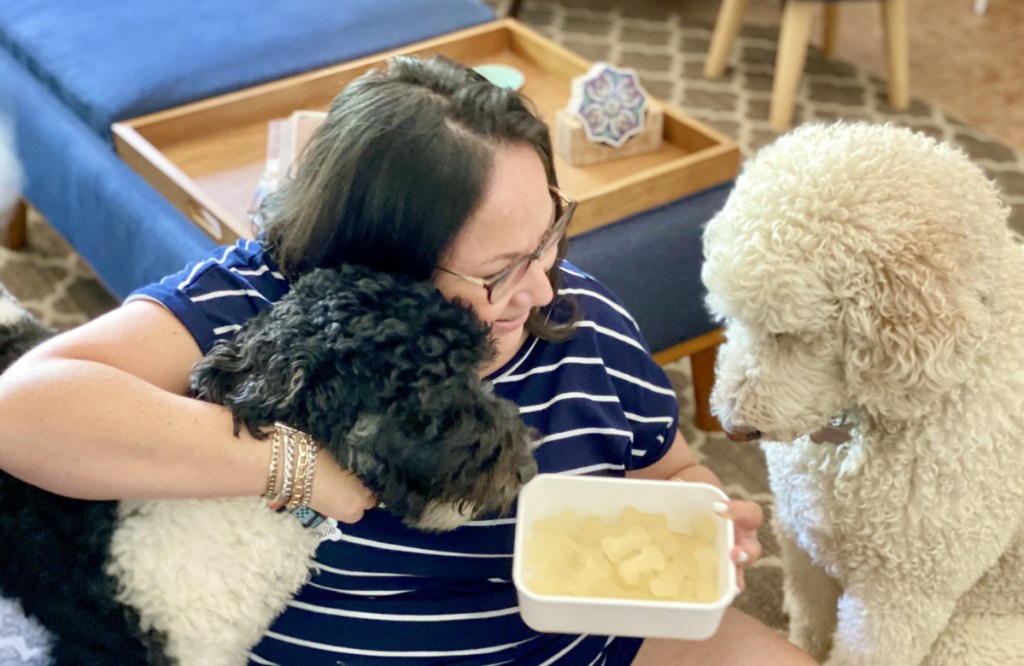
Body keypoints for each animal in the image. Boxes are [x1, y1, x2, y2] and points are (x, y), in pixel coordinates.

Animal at [700, 120, 1024, 663]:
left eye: (788, 334)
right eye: (731, 317)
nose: (732, 427)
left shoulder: (899, 599)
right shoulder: (802, 543)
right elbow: (809, 624)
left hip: (965, 641)